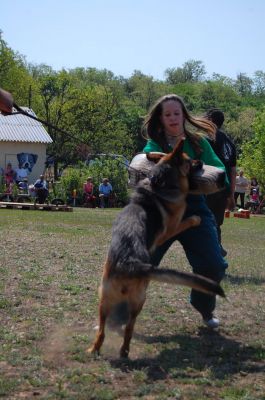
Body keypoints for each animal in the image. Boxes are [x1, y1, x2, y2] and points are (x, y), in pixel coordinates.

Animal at [89, 141, 225, 360]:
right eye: (189, 161)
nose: (201, 161)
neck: (159, 183)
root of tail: (130, 262)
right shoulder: (171, 227)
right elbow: (186, 220)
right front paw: (195, 219)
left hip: (104, 300)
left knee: (104, 331)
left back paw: (96, 349)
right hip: (138, 299)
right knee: (129, 328)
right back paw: (124, 351)